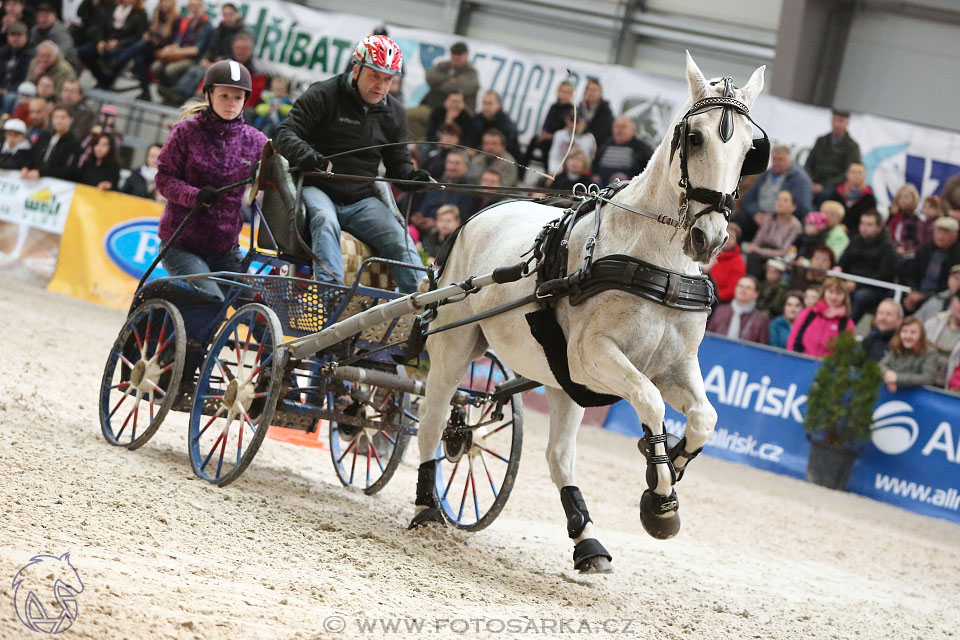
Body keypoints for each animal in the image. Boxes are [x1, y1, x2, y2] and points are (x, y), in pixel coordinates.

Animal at [410, 55, 764, 572]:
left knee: (558, 455)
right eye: (695, 137)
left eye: (749, 150)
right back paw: (425, 507)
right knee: (433, 419)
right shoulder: (593, 356)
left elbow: (705, 418)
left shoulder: (674, 365)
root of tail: (480, 213)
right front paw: (660, 496)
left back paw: (587, 540)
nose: (710, 238)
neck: (654, 259)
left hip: (562, 383)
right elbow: (651, 403)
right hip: (455, 345)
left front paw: (669, 479)